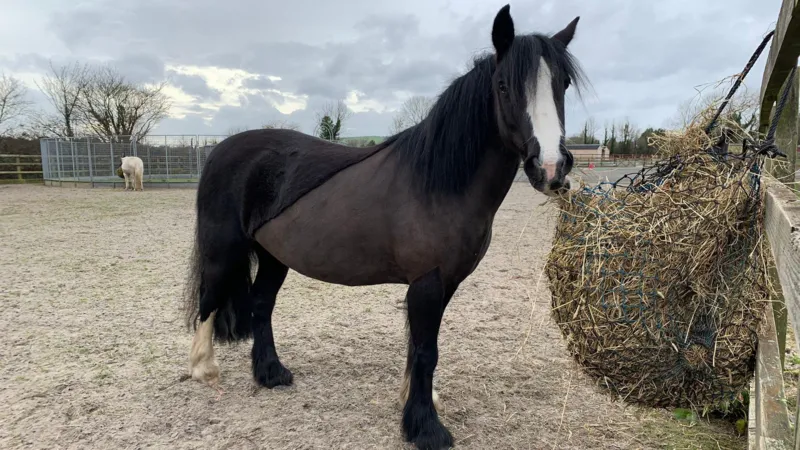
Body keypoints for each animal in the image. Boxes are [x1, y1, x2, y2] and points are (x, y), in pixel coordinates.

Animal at [182, 5, 585, 449]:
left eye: (562, 83)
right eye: (502, 86)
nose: (551, 168)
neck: (436, 182)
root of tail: (222, 149)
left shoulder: (446, 283)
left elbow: (419, 348)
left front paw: (414, 405)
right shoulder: (427, 282)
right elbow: (426, 351)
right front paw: (426, 428)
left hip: (274, 256)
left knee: (261, 304)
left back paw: (271, 373)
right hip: (224, 249)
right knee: (208, 300)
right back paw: (204, 370)